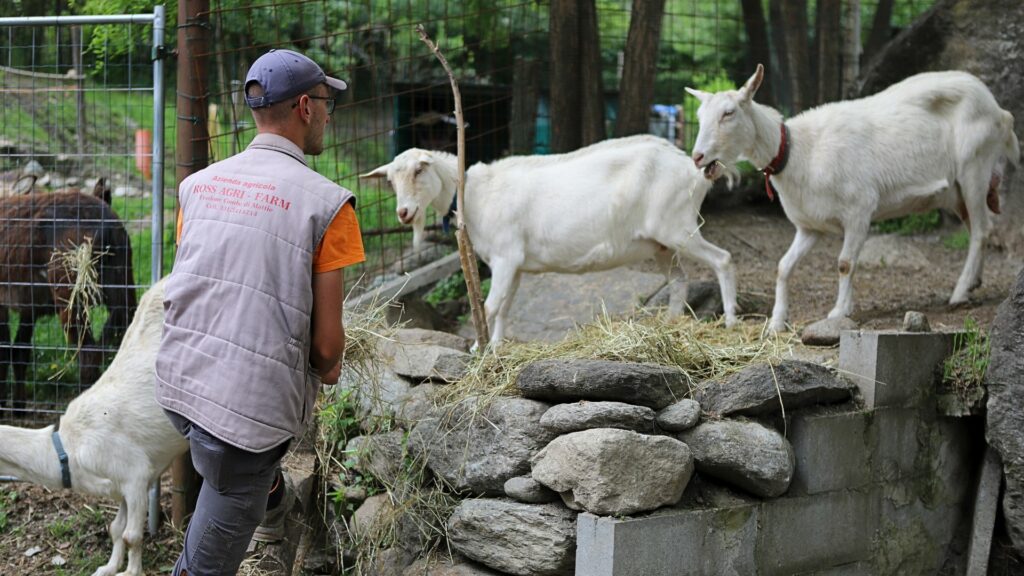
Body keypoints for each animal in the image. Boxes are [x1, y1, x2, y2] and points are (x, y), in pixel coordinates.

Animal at [0, 276, 188, 569]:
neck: (69, 449)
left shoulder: (135, 475)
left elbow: (132, 535)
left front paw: (130, 572)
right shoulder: (121, 488)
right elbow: (116, 528)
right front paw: (108, 568)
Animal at [364, 134, 741, 344]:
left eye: (419, 170)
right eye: (390, 181)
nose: (404, 213)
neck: (473, 194)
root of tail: (695, 169)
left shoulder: (505, 258)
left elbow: (489, 306)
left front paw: (478, 350)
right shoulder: (515, 265)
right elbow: (505, 307)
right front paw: (496, 347)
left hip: (678, 227)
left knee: (723, 259)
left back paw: (731, 321)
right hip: (662, 242)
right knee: (679, 280)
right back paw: (670, 324)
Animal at [688, 63, 1015, 332]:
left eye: (729, 113)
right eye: (700, 116)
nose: (698, 157)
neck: (800, 152)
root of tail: (1000, 111)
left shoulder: (860, 210)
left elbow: (845, 263)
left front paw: (838, 312)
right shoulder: (809, 227)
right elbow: (783, 266)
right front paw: (777, 321)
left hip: (974, 167)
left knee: (982, 230)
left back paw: (959, 294)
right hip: (957, 191)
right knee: (977, 230)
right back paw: (973, 283)